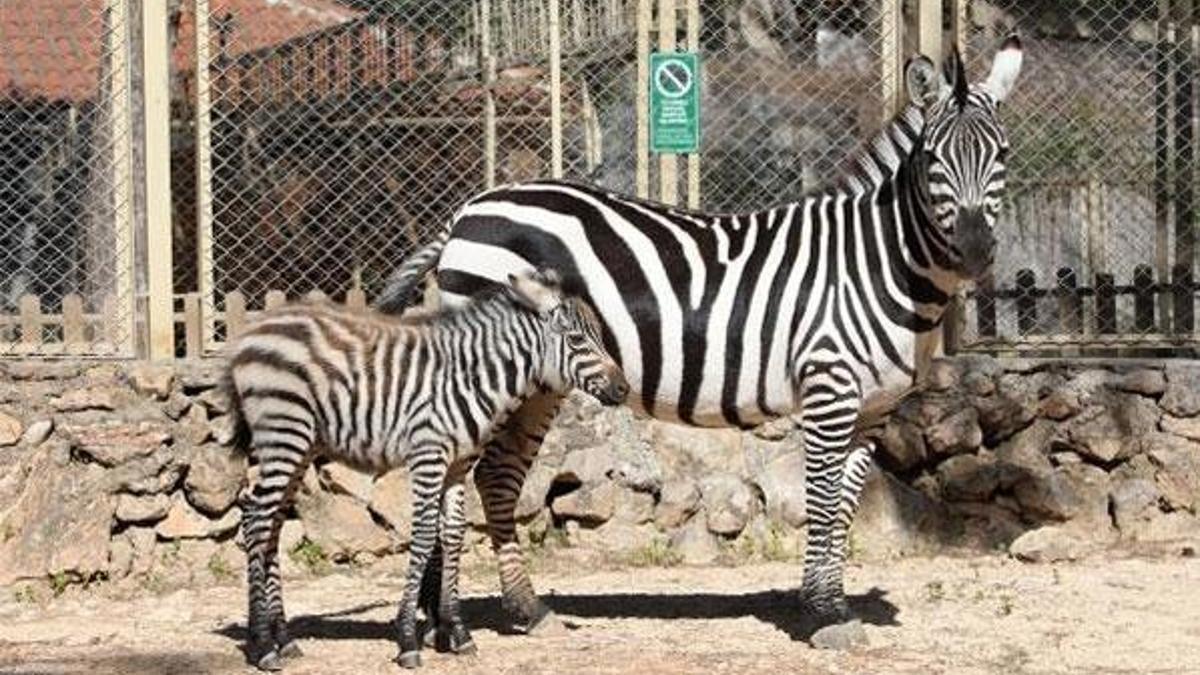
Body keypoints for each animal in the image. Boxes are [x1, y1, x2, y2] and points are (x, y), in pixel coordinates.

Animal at [223, 269, 628, 670]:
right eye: (576, 339)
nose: (624, 389)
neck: (473, 378)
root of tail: (250, 333)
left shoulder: (458, 464)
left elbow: (453, 534)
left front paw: (458, 633)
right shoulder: (428, 455)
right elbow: (422, 536)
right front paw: (407, 639)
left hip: (301, 445)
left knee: (272, 524)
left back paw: (284, 639)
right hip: (283, 433)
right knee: (256, 518)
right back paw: (262, 645)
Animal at [377, 37, 1023, 647]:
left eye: (1003, 153)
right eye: (932, 157)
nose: (973, 251)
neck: (877, 263)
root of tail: (467, 211)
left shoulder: (874, 410)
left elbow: (842, 507)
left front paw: (832, 603)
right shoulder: (829, 387)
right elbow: (818, 501)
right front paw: (822, 615)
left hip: (537, 381)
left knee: (495, 478)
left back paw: (513, 611)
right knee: (457, 482)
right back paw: (448, 624)